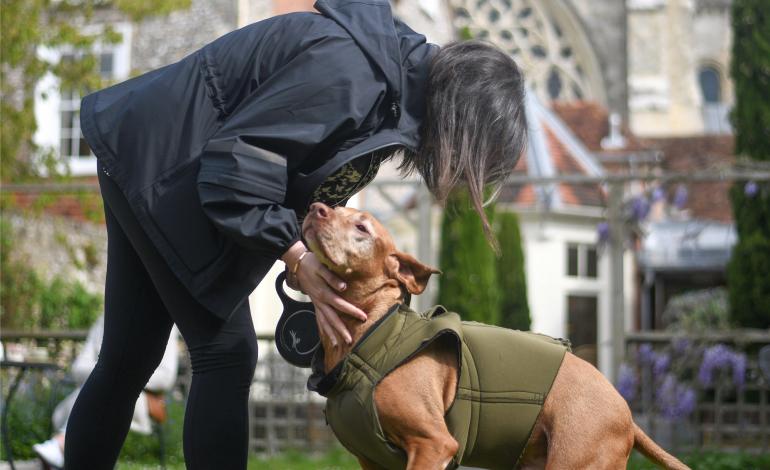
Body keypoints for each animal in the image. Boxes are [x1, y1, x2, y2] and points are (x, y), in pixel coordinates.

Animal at [298, 203, 684, 470]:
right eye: (336, 209)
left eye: (362, 227)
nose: (315, 208)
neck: (376, 335)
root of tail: (627, 413)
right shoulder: (374, 461)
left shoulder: (434, 444)